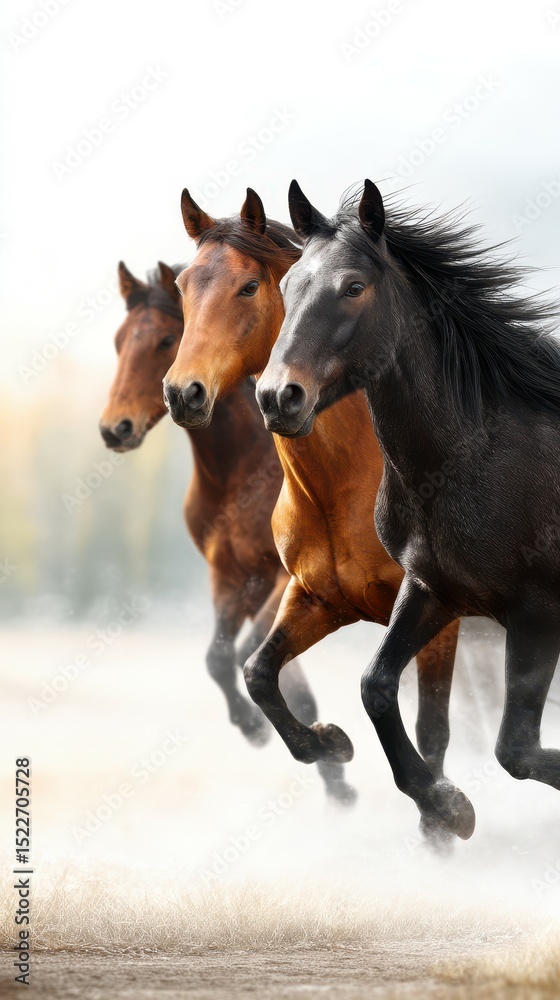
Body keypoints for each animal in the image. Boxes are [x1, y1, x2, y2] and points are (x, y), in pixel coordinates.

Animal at [99, 259, 355, 804]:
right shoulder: (230, 576)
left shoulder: (287, 579)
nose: (115, 429)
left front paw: (317, 750)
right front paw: (276, 738)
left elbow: (248, 655)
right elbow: (220, 658)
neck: (240, 472)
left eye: (165, 340)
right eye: (119, 341)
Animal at [162, 188, 464, 842]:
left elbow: (431, 728)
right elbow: (258, 673)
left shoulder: (440, 613)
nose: (183, 393)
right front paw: (332, 744)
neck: (347, 488)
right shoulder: (315, 597)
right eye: (182, 285)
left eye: (250, 286)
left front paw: (443, 817)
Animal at [257, 177, 560, 840]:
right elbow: (373, 685)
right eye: (288, 286)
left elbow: (517, 750)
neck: (480, 456)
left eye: (353, 286)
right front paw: (446, 805)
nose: (277, 397)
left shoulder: (536, 613)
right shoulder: (431, 589)